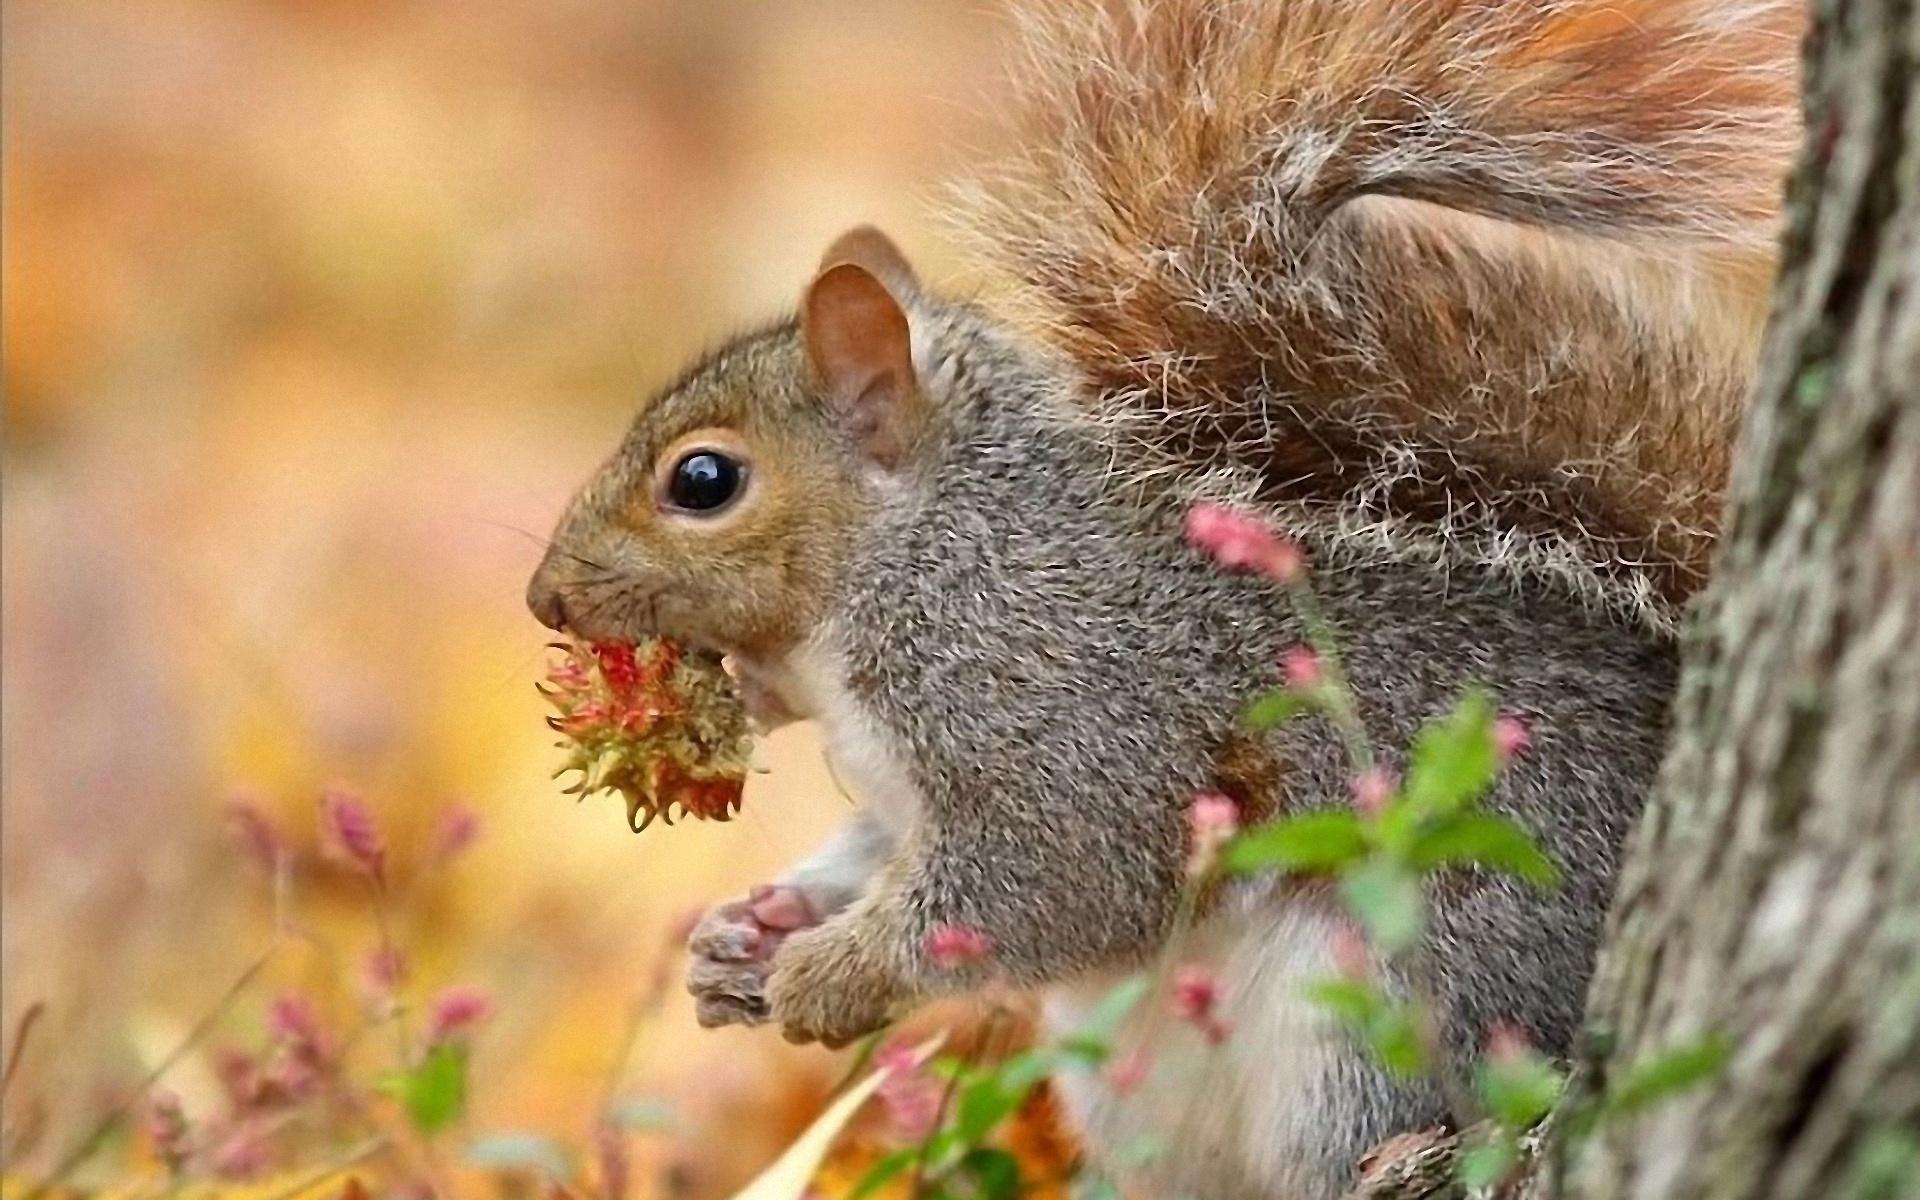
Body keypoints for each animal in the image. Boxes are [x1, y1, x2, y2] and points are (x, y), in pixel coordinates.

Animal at [526, 4, 1797, 1190]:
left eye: (703, 480)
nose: (545, 599)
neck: (928, 555)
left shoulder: (1062, 710)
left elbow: (1048, 878)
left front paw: (832, 973)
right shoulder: (907, 780)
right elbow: (874, 847)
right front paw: (751, 931)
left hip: (1390, 1005)